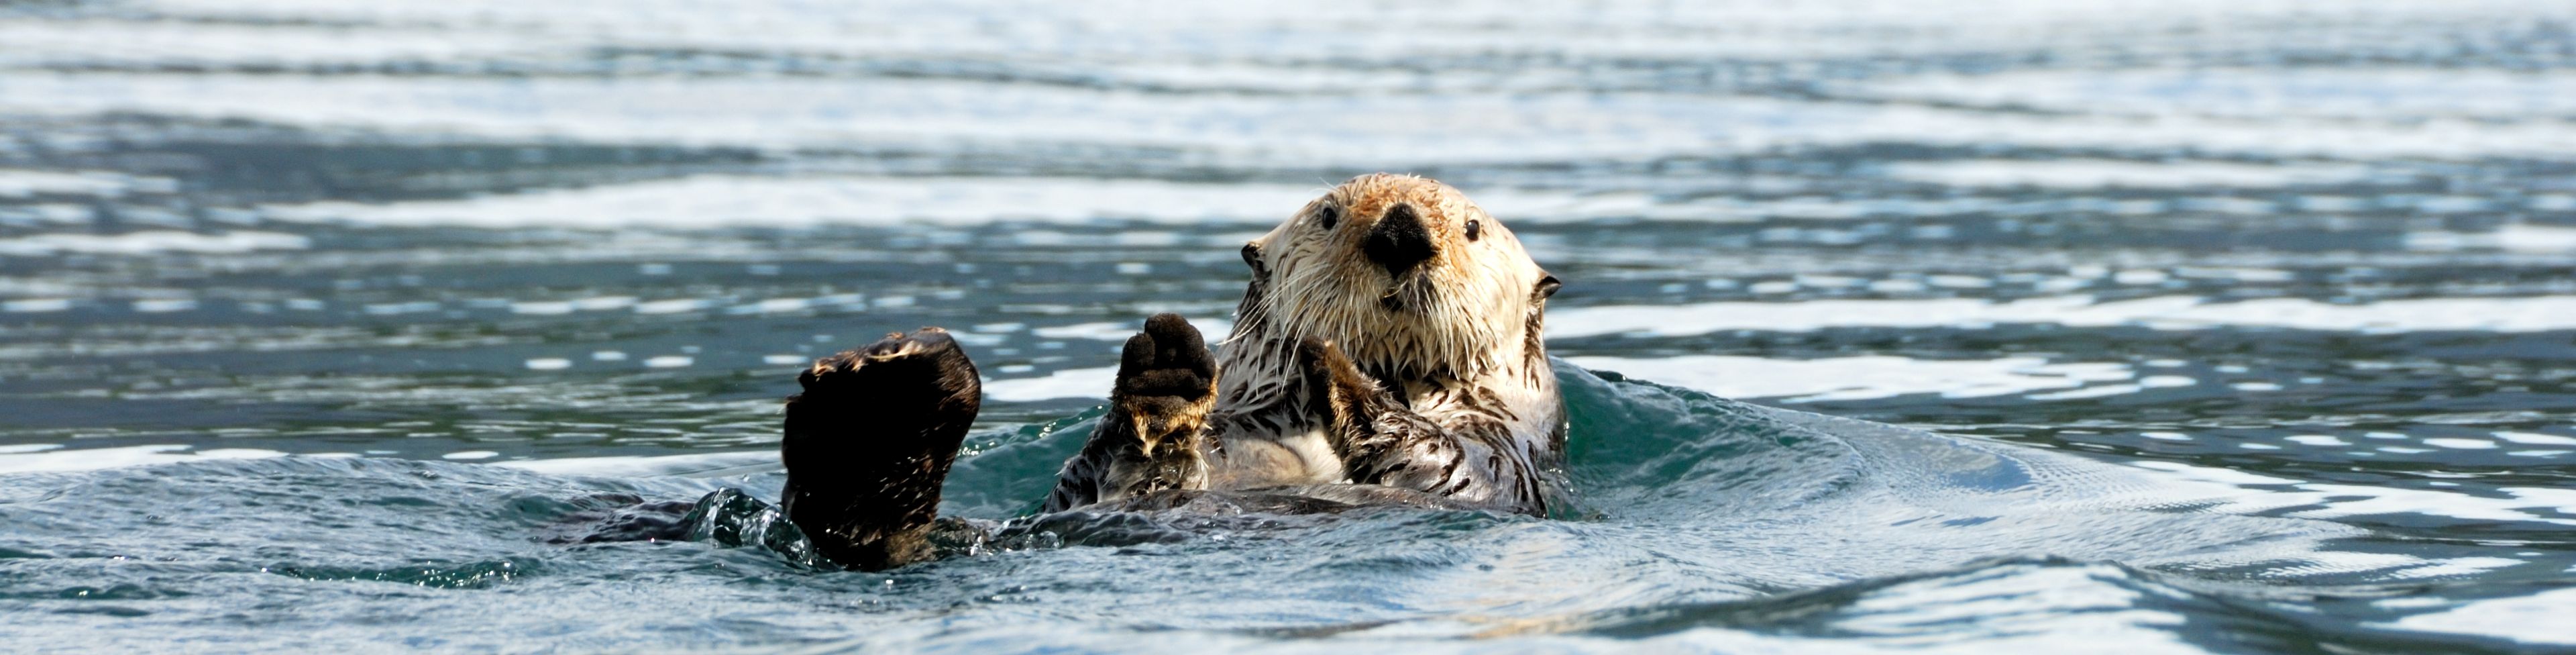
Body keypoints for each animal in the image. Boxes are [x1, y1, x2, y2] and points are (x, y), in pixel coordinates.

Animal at [781, 174, 1566, 571]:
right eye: (1329, 215)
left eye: (1472, 229)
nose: (1401, 231)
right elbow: (1102, 472)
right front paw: (1168, 375)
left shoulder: (1509, 456)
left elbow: (1455, 467)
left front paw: (1336, 364)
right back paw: (882, 397)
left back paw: (877, 402)